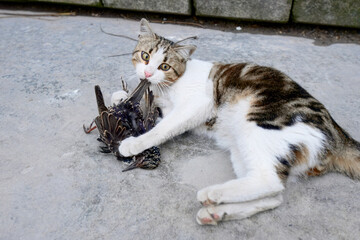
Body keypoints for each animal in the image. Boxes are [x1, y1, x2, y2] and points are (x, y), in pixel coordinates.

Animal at [112, 18, 360, 225]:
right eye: (145, 56)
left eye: (164, 66)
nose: (147, 74)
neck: (167, 87)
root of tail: (337, 132)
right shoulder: (164, 106)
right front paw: (121, 98)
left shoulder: (197, 105)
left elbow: (163, 128)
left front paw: (134, 143)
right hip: (243, 147)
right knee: (274, 196)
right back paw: (216, 212)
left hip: (259, 125)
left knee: (269, 181)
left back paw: (212, 194)